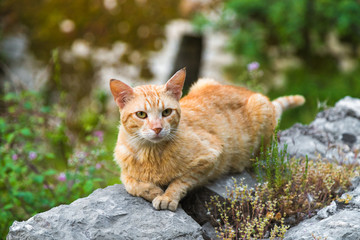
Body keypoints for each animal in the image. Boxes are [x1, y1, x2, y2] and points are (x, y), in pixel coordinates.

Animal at [109, 68, 304, 211]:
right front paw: (152, 190)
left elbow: (181, 181)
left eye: (166, 112)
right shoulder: (124, 172)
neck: (149, 152)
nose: (157, 128)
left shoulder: (211, 156)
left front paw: (167, 196)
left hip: (260, 110)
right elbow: (131, 184)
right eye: (141, 114)